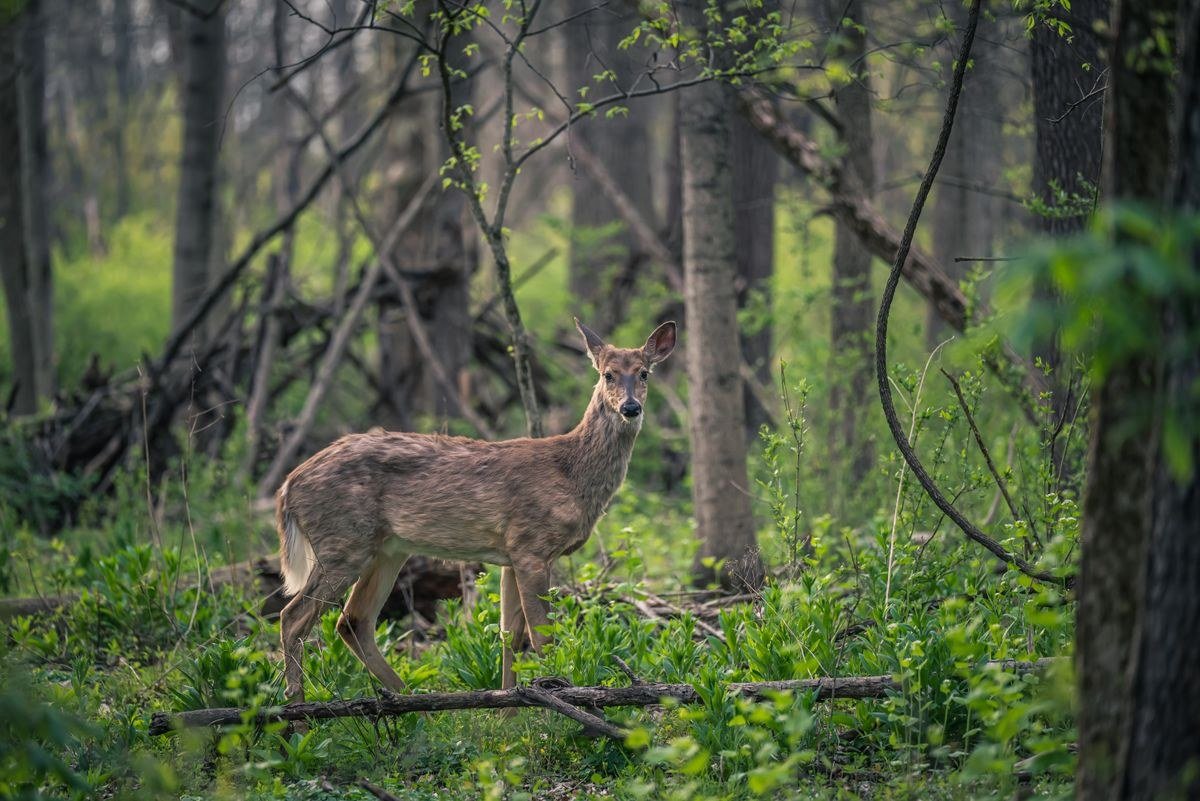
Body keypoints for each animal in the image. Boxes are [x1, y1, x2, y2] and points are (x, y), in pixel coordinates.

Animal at [274, 319, 677, 703]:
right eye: (608, 373)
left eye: (643, 372)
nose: (630, 407)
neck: (572, 473)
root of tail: (288, 486)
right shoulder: (531, 546)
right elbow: (542, 637)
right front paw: (559, 696)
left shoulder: (512, 555)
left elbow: (508, 636)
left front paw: (512, 706)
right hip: (343, 543)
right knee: (292, 616)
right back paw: (297, 709)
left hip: (387, 549)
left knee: (352, 621)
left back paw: (412, 703)